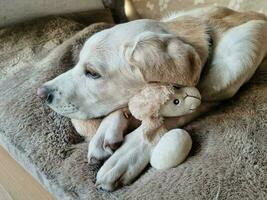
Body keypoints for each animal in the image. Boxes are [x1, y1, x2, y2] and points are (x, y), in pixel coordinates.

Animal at [37, 6, 267, 191]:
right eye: (77, 63)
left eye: (92, 73)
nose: (41, 93)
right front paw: (104, 134)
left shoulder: (210, 96)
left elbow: (163, 121)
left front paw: (124, 157)